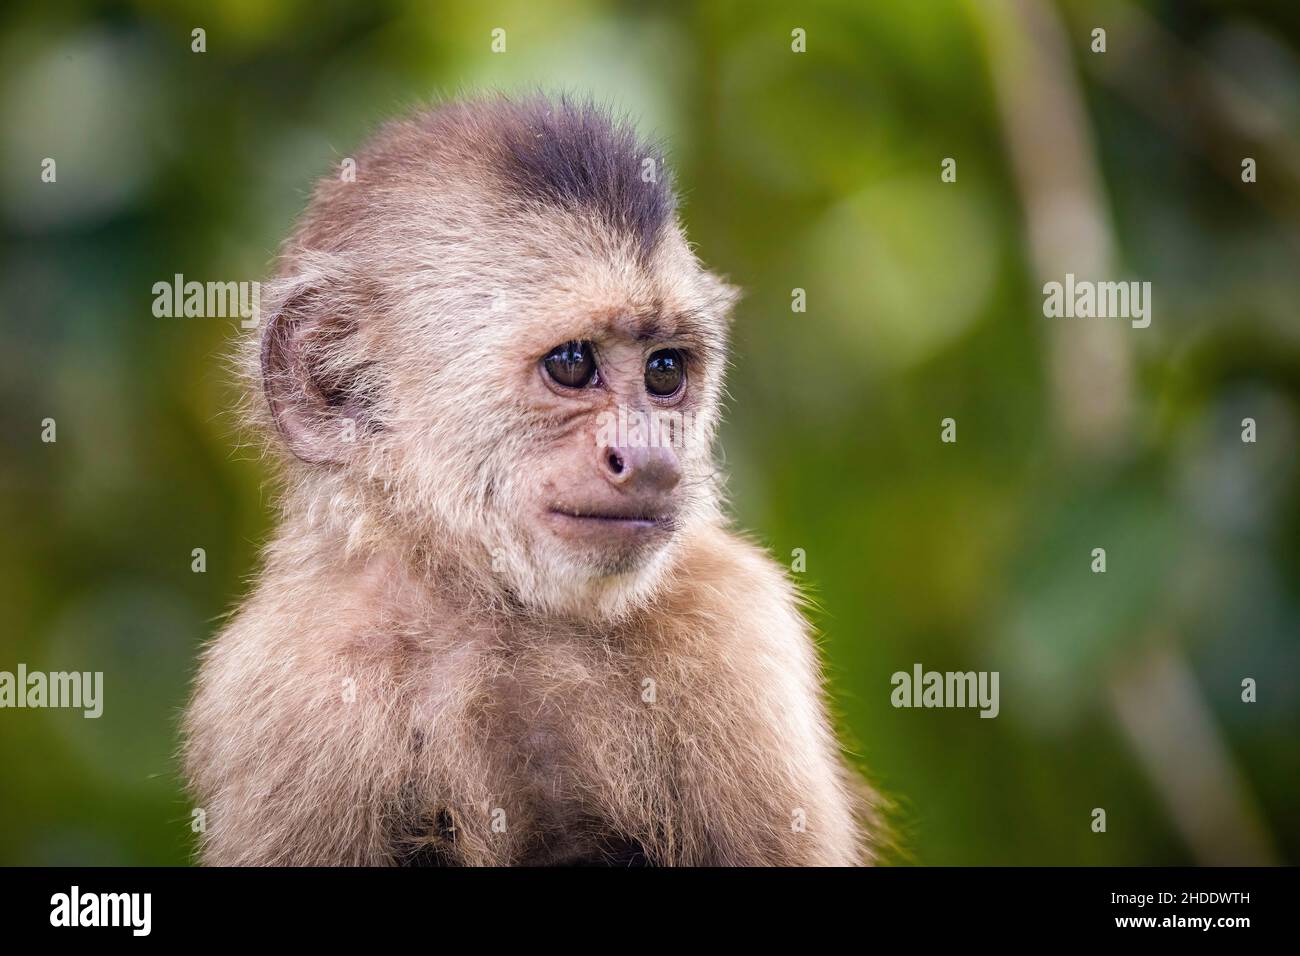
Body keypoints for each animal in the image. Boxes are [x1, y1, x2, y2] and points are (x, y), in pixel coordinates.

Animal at [183, 94, 879, 866]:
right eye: (572, 364)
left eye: (665, 371)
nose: (652, 458)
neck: (495, 607)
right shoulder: (282, 685)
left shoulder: (738, 619)